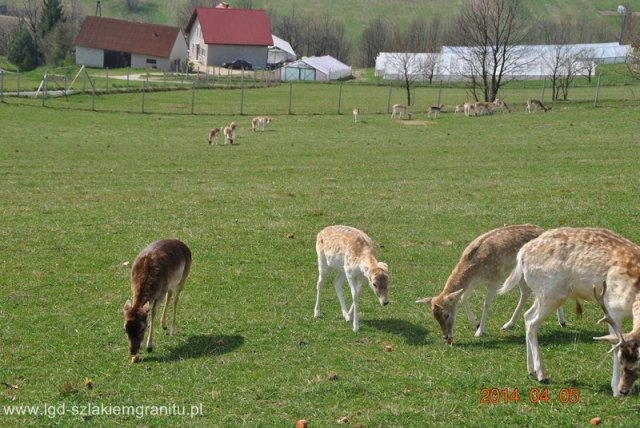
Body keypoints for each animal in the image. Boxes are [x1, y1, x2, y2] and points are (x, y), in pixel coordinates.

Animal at [420, 224, 568, 344]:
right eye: (434, 316)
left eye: (446, 315)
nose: (445, 336)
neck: (475, 271)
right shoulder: (472, 283)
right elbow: (462, 297)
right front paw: (475, 322)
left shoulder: (495, 280)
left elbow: (486, 304)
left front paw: (479, 331)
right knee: (526, 292)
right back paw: (509, 324)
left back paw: (562, 321)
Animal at [500, 226, 640, 396]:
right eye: (622, 361)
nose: (625, 390)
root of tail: (521, 254)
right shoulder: (612, 307)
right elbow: (614, 346)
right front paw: (615, 389)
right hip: (551, 293)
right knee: (532, 324)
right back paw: (542, 375)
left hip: (542, 294)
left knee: (527, 316)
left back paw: (530, 370)